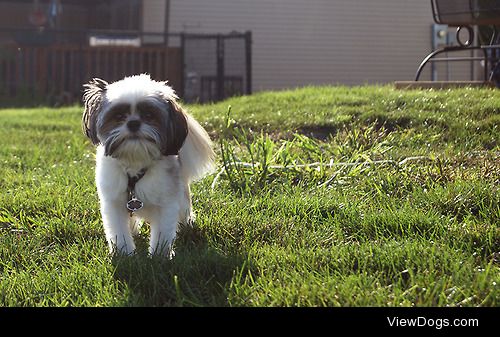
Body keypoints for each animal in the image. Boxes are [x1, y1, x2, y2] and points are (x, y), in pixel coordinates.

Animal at [82, 73, 215, 256]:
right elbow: (119, 230)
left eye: (149, 116)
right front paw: (124, 254)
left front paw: (159, 256)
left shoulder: (167, 203)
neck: (136, 161)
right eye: (119, 117)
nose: (133, 123)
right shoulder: (114, 202)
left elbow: (162, 232)